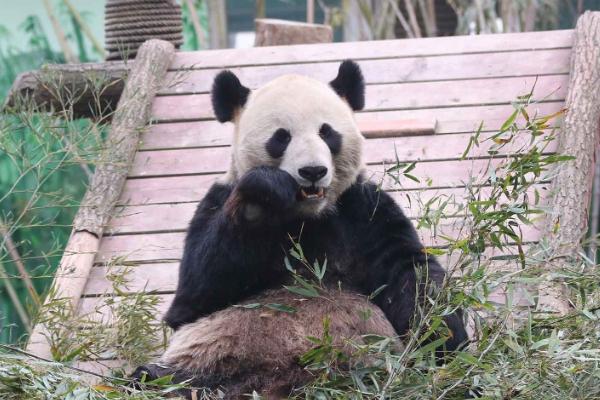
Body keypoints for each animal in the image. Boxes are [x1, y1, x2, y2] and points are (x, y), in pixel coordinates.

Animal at [132, 61, 468, 398]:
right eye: (281, 137)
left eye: (327, 132)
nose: (313, 171)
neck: (308, 215)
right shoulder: (218, 200)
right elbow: (194, 297)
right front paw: (262, 197)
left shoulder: (363, 210)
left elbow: (409, 275)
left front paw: (446, 335)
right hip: (209, 357)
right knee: (163, 379)